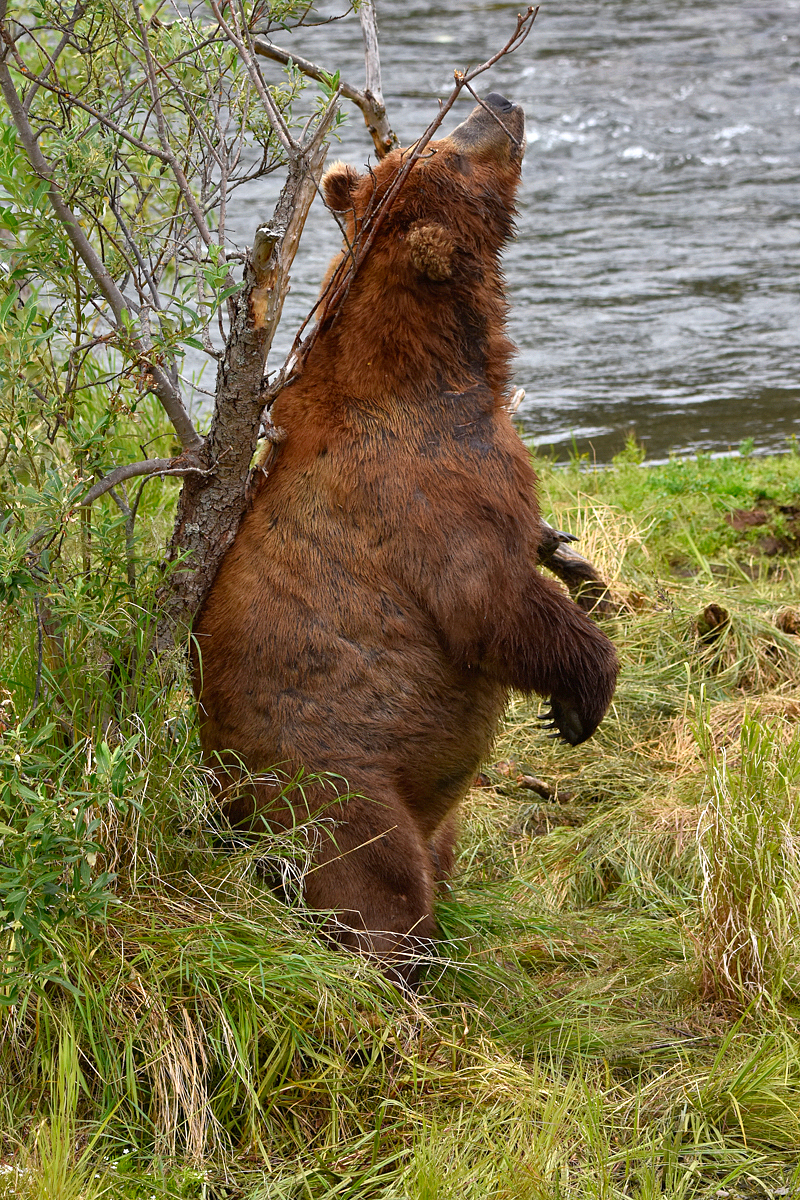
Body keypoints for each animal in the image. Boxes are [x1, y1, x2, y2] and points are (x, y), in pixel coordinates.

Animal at [191, 91, 618, 974]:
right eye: (452, 151)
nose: (500, 102)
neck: (432, 367)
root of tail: (219, 799)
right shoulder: (431, 491)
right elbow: (490, 605)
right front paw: (582, 696)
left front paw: (567, 555)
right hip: (328, 779)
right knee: (376, 882)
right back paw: (413, 966)